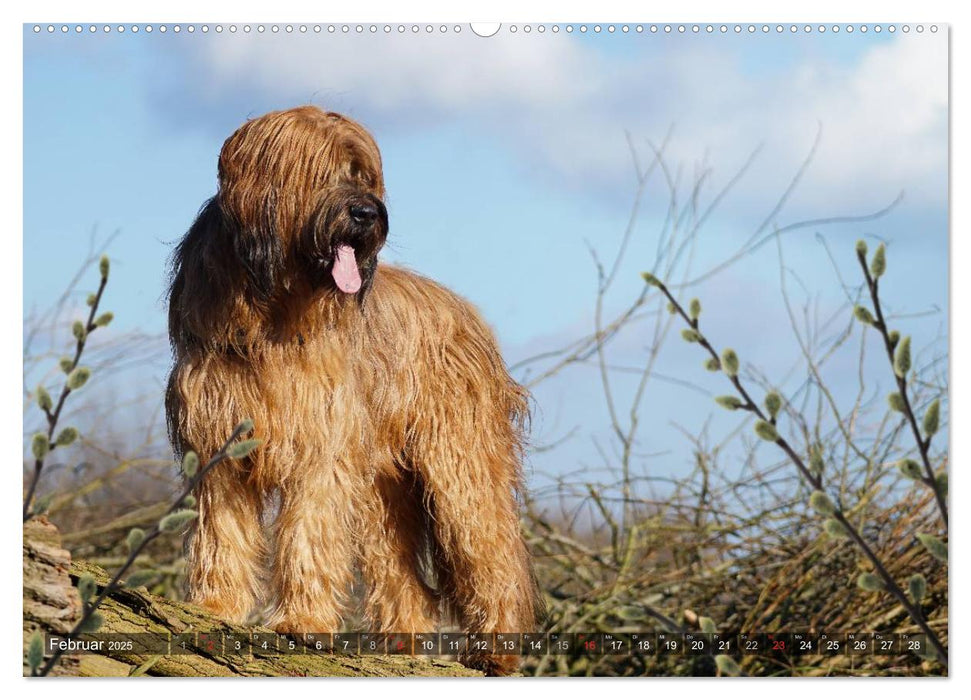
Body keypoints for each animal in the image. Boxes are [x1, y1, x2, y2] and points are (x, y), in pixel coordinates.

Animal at [168, 104, 548, 672]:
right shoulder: (218, 435)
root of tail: (467, 313)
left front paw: (303, 621)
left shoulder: (321, 438)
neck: (271, 313)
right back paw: (404, 639)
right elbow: (223, 528)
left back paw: (496, 652)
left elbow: (310, 526)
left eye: (364, 174)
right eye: (323, 170)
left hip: (460, 465)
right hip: (382, 487)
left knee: (492, 548)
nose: (368, 213)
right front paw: (215, 605)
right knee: (400, 566)